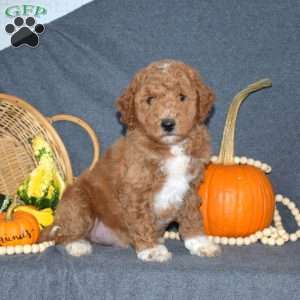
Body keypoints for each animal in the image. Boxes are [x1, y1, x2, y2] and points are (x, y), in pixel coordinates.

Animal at [42, 59, 220, 262]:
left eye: (182, 97)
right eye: (150, 100)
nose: (167, 124)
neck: (170, 147)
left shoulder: (190, 188)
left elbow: (192, 217)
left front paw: (200, 243)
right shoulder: (136, 189)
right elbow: (142, 219)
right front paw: (151, 249)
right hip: (78, 204)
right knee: (62, 235)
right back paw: (77, 245)